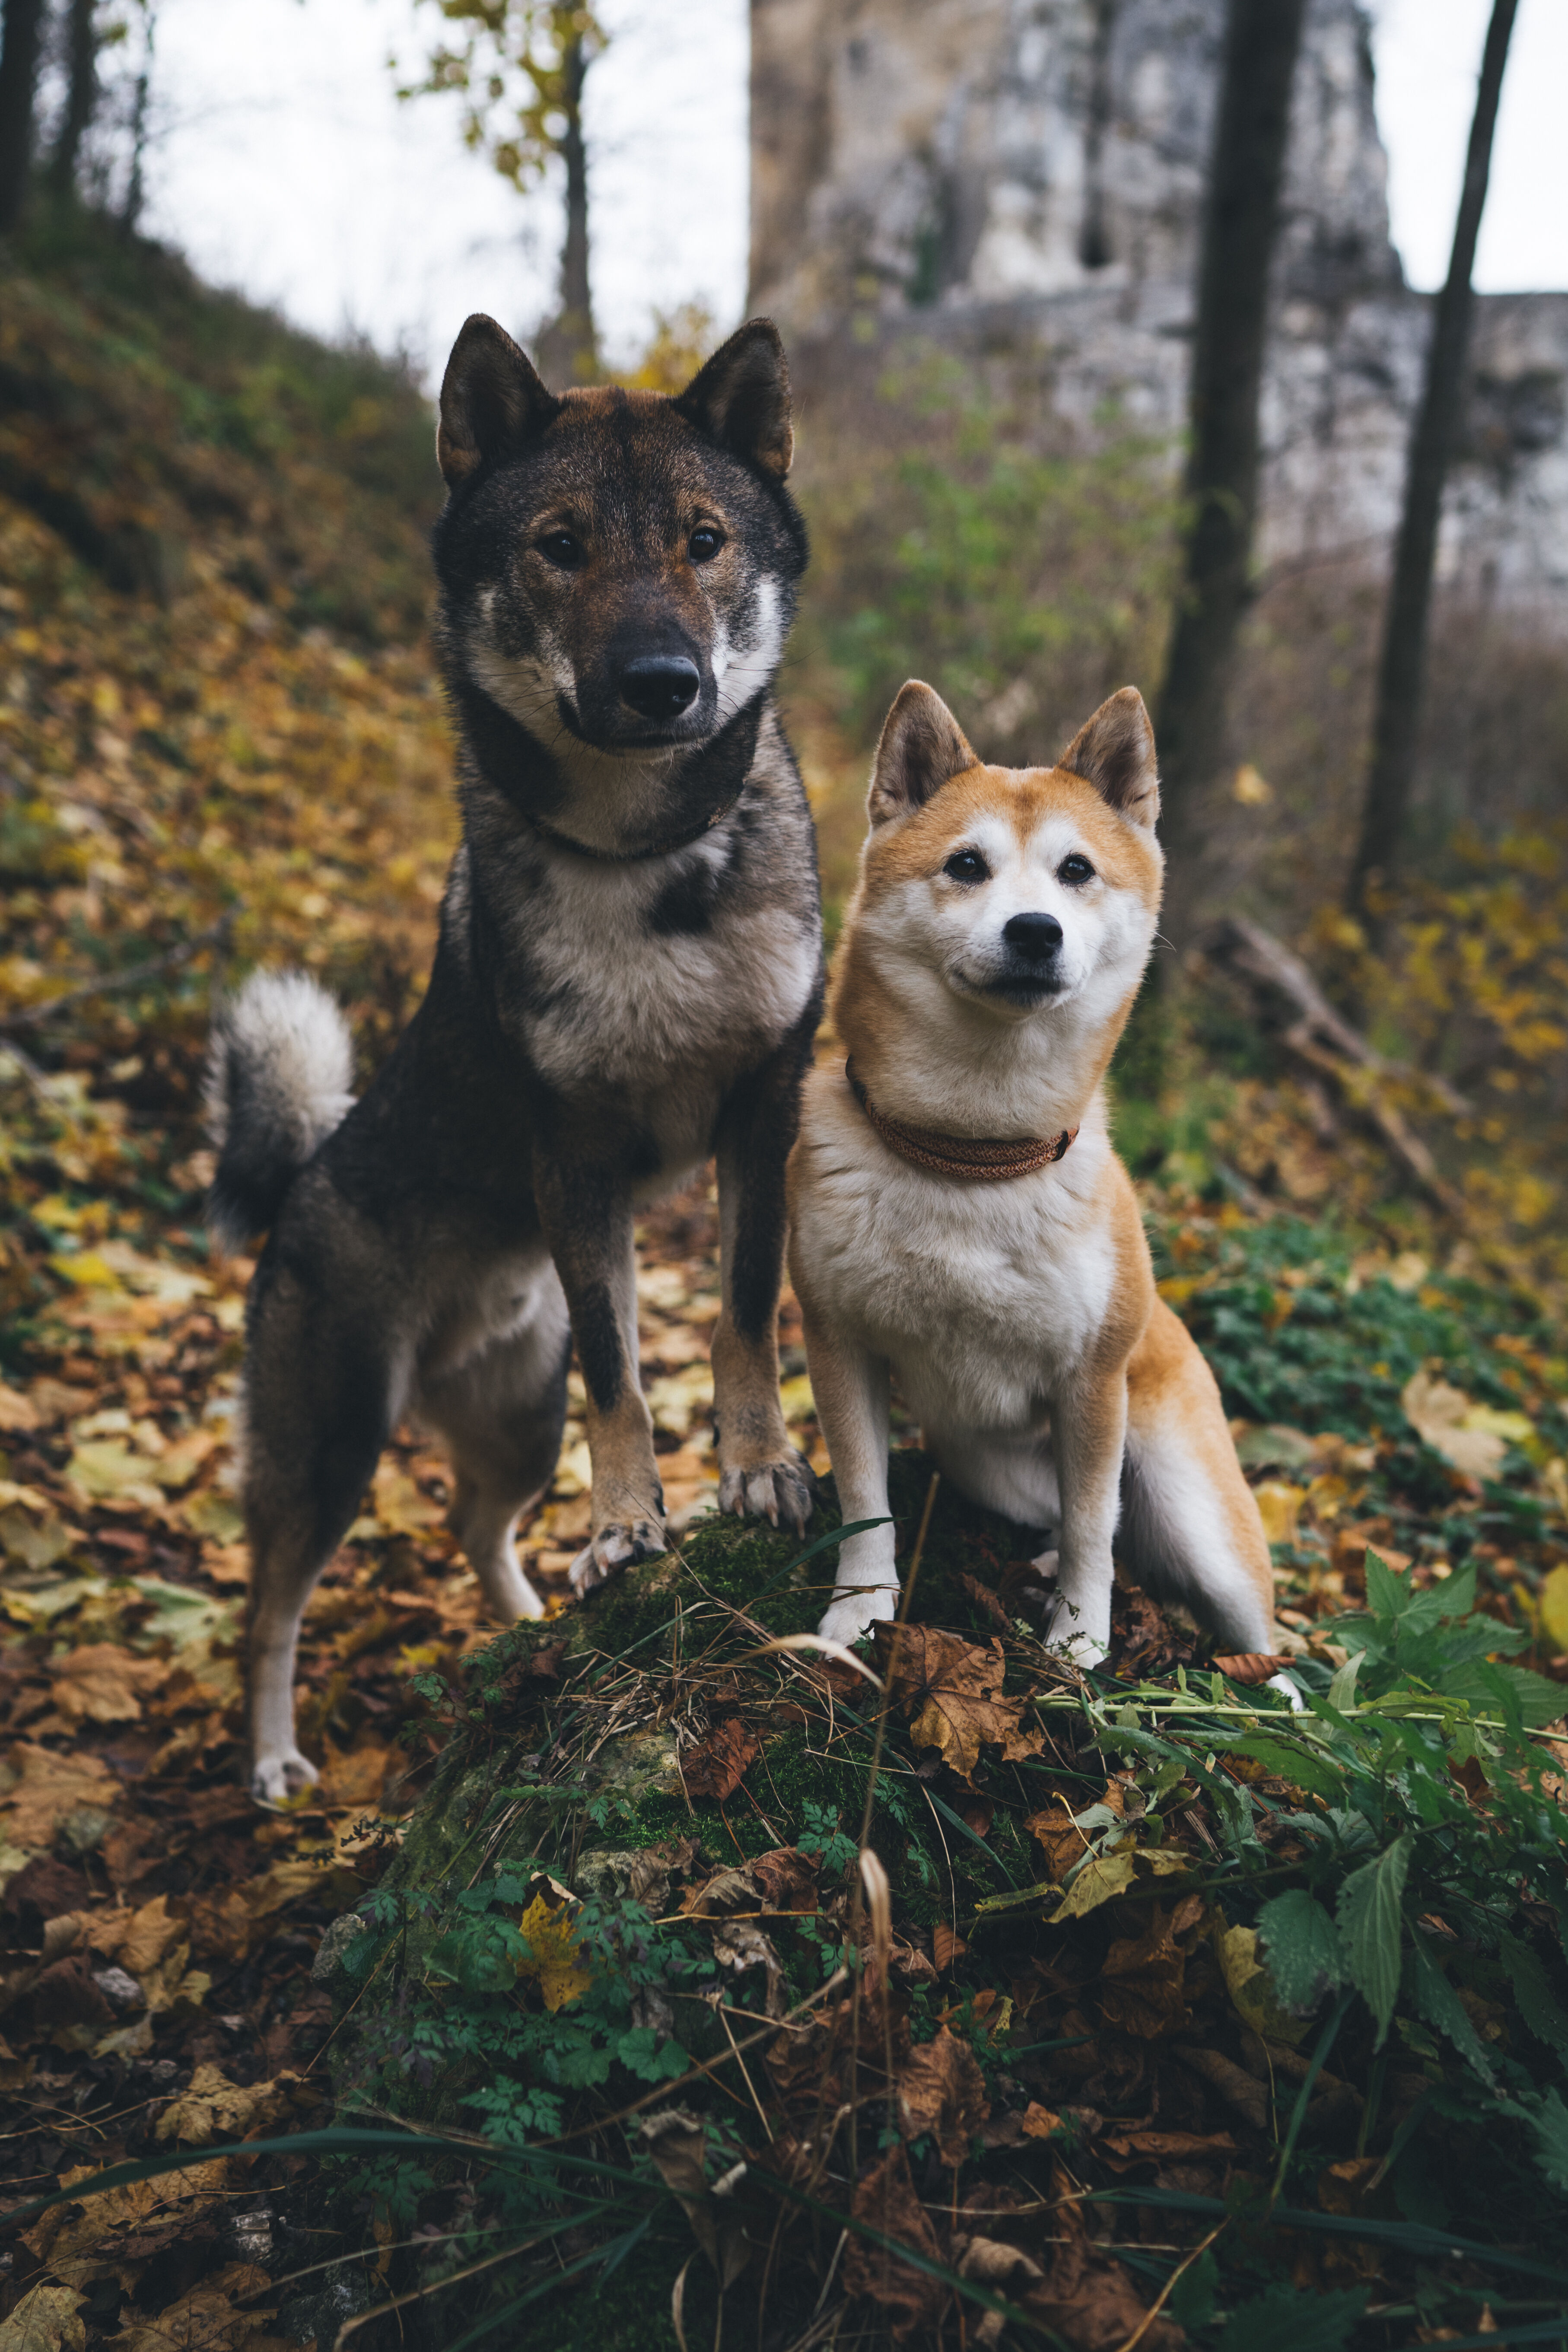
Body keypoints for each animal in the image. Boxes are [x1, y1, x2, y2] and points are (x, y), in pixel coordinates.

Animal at [790, 682, 1298, 1693]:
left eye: (1074, 870)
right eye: (965, 864)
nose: (1033, 929)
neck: (971, 1156)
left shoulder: (1089, 1382)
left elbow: (1094, 1530)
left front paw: (1077, 1643)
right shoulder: (839, 1346)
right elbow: (866, 1503)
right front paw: (858, 1615)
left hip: (1196, 1517)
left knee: (1252, 1632)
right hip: (983, 1462)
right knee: (1074, 1525)